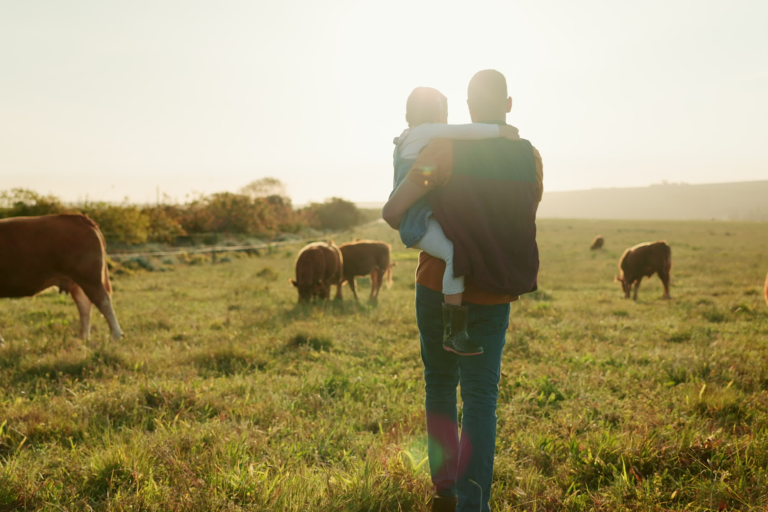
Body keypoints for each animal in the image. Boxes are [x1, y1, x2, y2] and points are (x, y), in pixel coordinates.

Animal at [0, 214, 123, 342]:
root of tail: (81, 218)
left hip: (89, 277)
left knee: (103, 301)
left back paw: (116, 335)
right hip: (77, 282)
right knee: (85, 304)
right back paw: (83, 338)